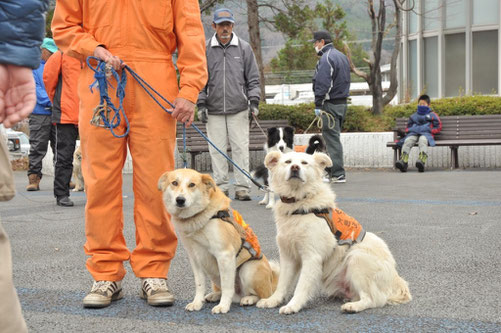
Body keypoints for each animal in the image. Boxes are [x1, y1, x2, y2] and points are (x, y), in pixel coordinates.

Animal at [258, 152, 410, 312]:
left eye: (304, 163)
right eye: (287, 162)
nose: (295, 167)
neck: (299, 204)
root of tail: (396, 278)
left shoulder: (312, 257)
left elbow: (301, 286)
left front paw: (293, 305)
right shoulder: (288, 257)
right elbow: (282, 284)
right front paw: (273, 300)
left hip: (356, 256)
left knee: (372, 299)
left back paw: (353, 306)